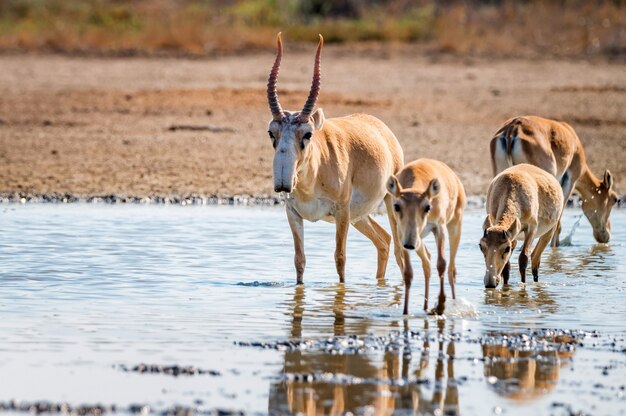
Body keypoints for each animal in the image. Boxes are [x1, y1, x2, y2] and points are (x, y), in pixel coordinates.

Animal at [264, 34, 402, 284]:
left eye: (307, 134)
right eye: (272, 132)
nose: (283, 182)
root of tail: (381, 128)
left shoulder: (341, 212)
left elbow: (340, 257)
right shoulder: (293, 213)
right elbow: (299, 261)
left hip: (389, 202)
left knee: (399, 249)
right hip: (360, 216)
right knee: (384, 241)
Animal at [386, 159, 464, 316]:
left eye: (428, 207)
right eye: (396, 206)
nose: (409, 244)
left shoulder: (439, 228)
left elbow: (441, 263)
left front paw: (441, 305)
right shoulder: (403, 236)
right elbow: (408, 273)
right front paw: (405, 311)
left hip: (455, 225)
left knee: (451, 270)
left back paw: (453, 303)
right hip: (418, 239)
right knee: (427, 261)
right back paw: (425, 306)